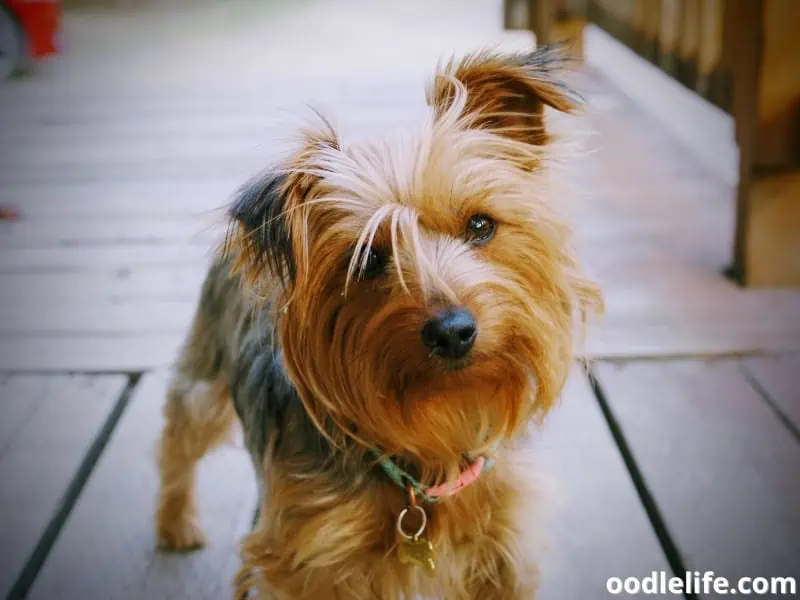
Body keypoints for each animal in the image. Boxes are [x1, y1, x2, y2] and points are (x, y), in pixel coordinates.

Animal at [153, 44, 600, 596]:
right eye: (367, 259)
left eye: (480, 225)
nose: (453, 331)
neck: (433, 450)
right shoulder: (312, 557)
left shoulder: (505, 543)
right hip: (207, 365)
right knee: (179, 435)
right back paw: (176, 522)